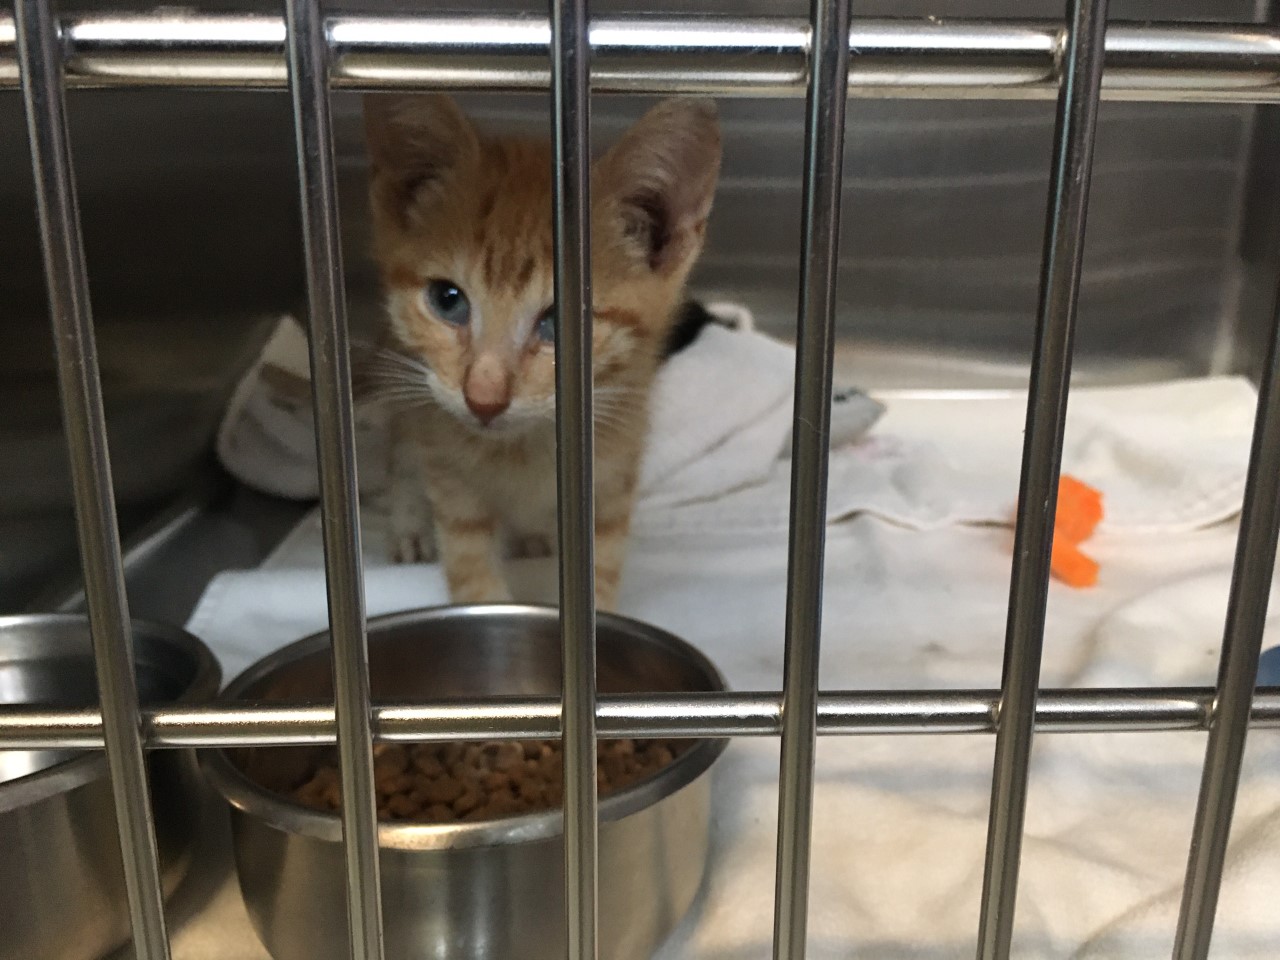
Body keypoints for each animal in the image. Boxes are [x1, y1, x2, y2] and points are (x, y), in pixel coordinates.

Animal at [363, 96, 721, 609]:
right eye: (447, 300)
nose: (483, 399)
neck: (527, 450)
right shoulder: (451, 474)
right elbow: (472, 572)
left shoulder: (614, 474)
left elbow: (601, 567)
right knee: (403, 450)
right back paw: (409, 523)